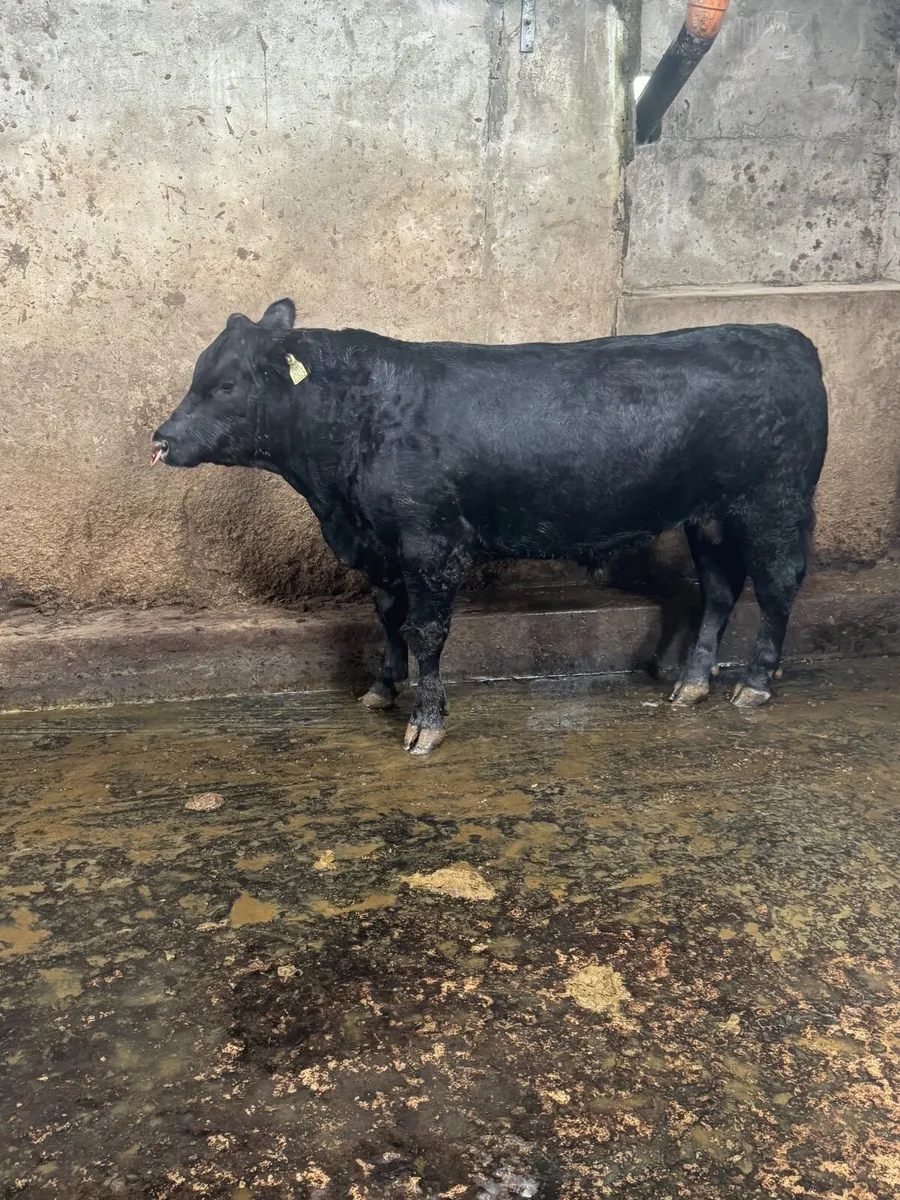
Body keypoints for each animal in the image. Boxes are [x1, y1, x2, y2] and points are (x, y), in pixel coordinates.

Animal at [152, 299, 828, 754]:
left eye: (226, 383)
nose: (161, 439)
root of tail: (785, 336)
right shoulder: (382, 548)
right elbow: (388, 620)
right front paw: (381, 690)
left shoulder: (430, 544)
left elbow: (425, 633)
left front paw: (425, 724)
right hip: (709, 517)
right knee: (719, 591)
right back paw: (691, 684)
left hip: (774, 505)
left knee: (776, 587)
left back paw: (755, 684)